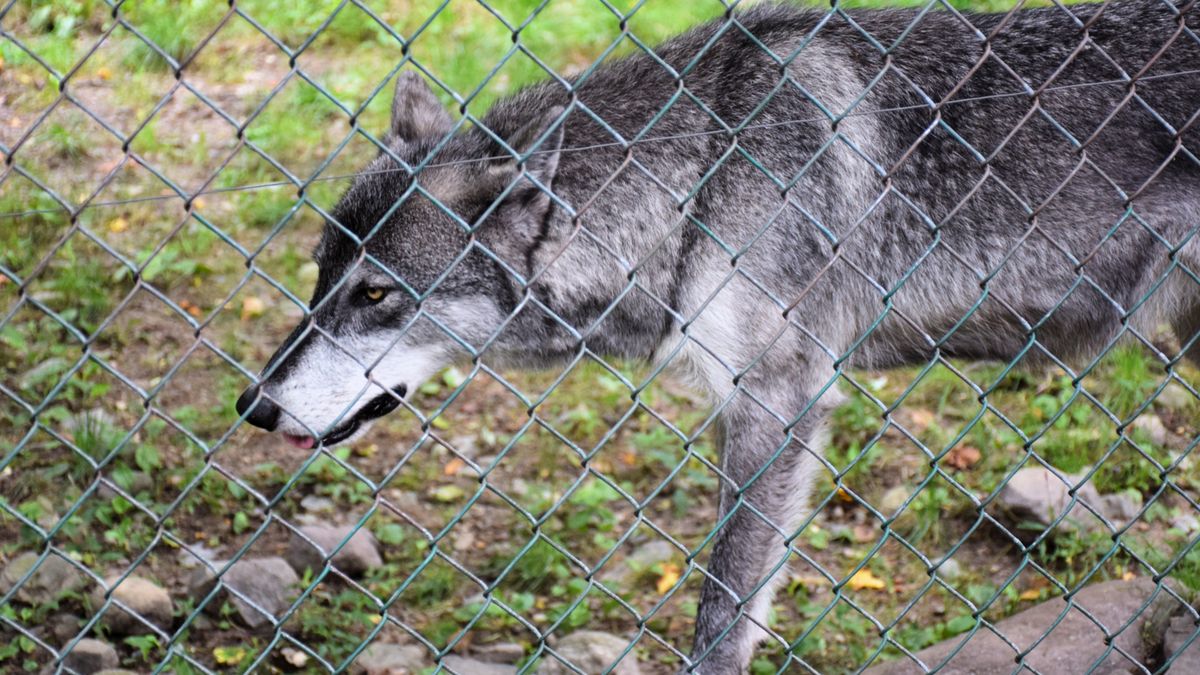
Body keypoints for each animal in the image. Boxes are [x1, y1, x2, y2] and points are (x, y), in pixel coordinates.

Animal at [235, 0, 1200, 671]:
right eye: (320, 277)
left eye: (375, 293)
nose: (251, 406)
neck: (700, 175)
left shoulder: (778, 402)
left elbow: (721, 617)